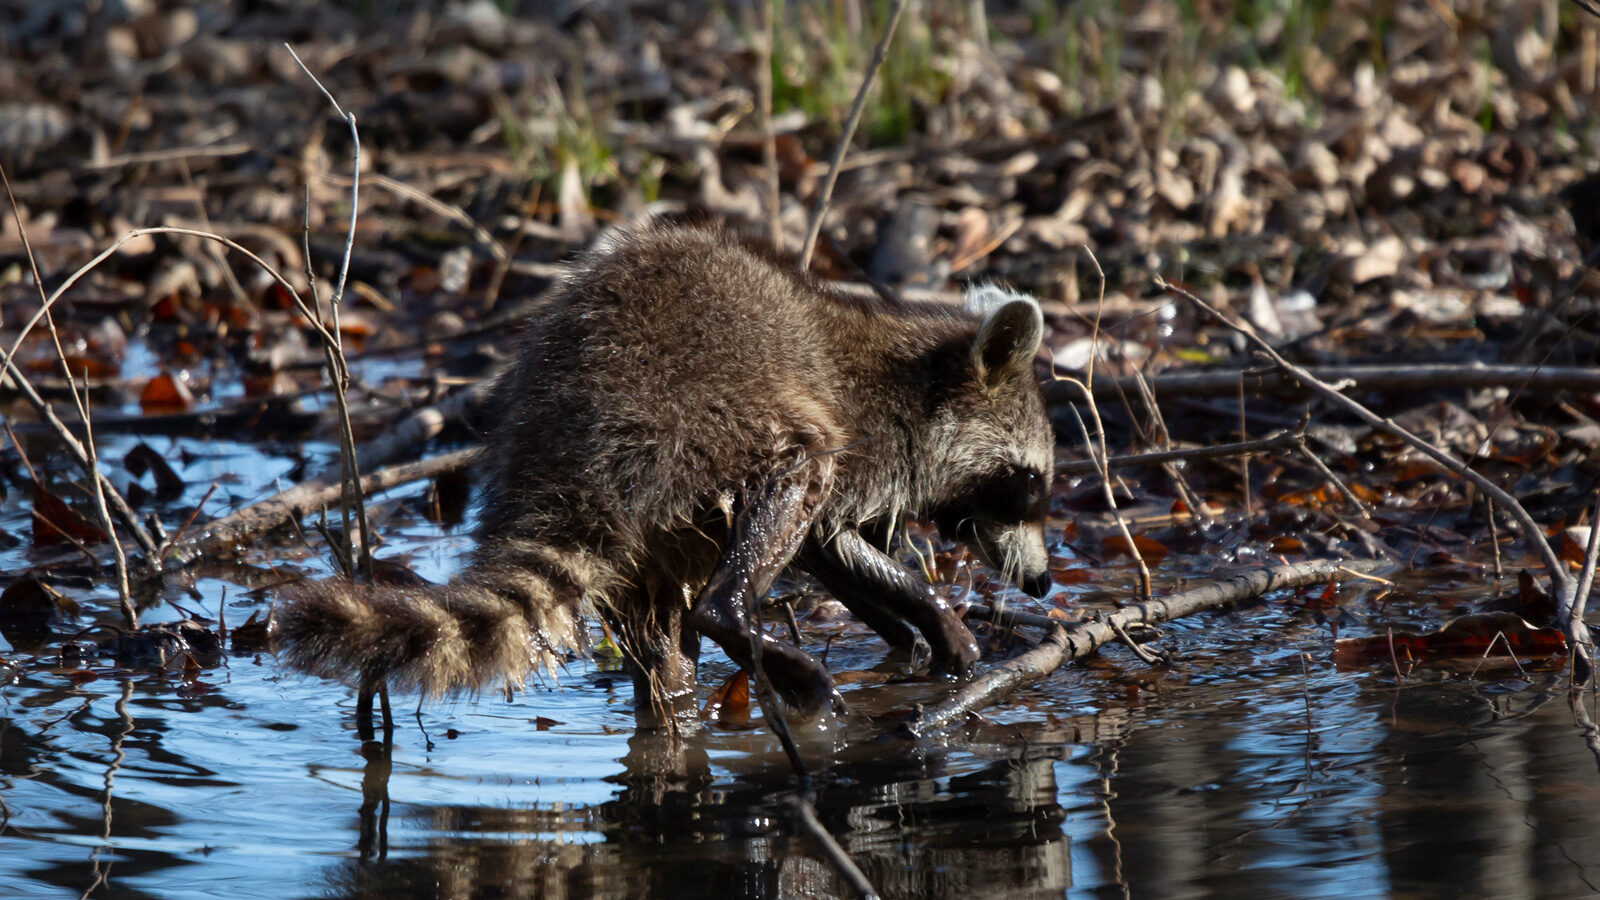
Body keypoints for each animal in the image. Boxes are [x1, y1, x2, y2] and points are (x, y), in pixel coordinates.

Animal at [281, 219, 1056, 720]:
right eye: (1032, 485)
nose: (1044, 582)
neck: (919, 380)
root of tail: (571, 453)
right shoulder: (867, 441)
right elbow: (826, 531)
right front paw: (928, 609)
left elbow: (832, 550)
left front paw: (905, 629)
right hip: (712, 420)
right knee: (791, 474)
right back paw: (739, 621)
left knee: (659, 642)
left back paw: (672, 700)